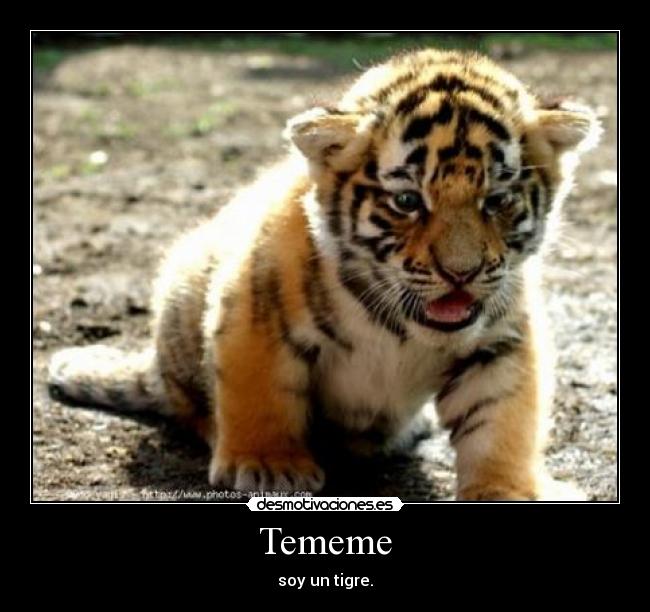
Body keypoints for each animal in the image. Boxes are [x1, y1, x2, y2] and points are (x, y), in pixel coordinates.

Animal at [47, 48, 600, 500]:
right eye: (407, 201)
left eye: (497, 200)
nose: (461, 273)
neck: (403, 328)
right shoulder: (255, 309)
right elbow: (259, 391)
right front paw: (267, 467)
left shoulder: (500, 341)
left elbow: (501, 421)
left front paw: (509, 490)